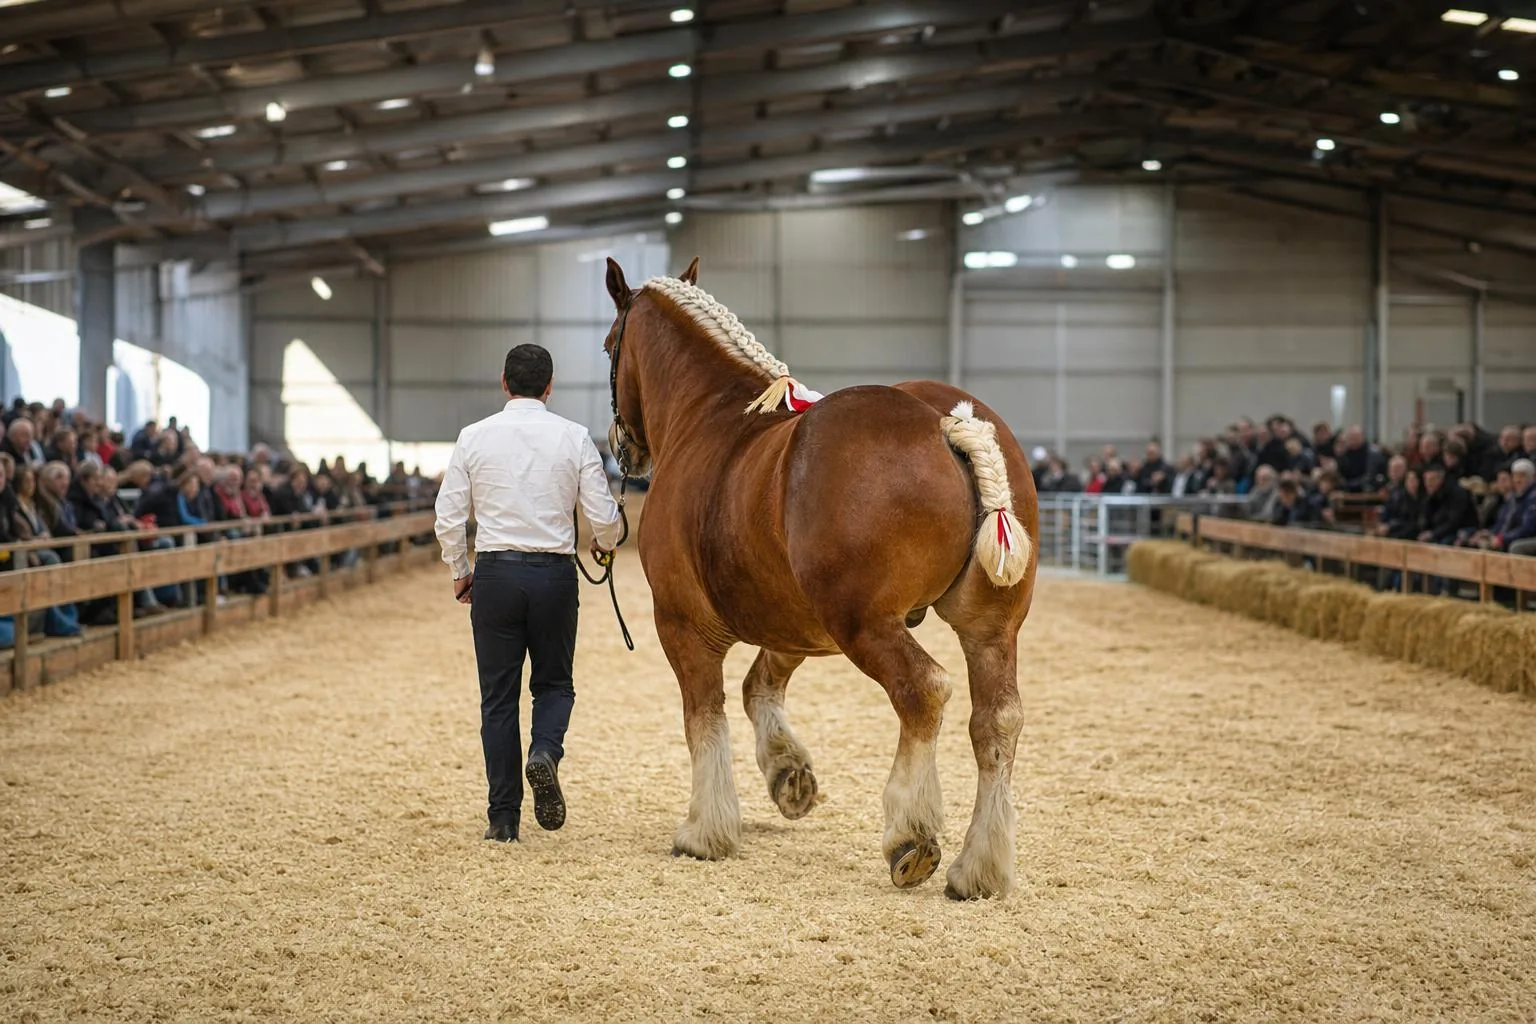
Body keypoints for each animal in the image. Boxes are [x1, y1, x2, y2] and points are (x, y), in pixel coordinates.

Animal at [602, 256, 1038, 899]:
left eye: (610, 345)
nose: (624, 450)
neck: (706, 417)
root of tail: (944, 423)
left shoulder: (681, 625)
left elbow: (704, 717)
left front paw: (705, 831)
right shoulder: (798, 625)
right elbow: (758, 687)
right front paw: (790, 775)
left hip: (866, 624)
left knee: (923, 692)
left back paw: (911, 837)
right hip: (988, 627)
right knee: (996, 723)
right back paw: (978, 868)